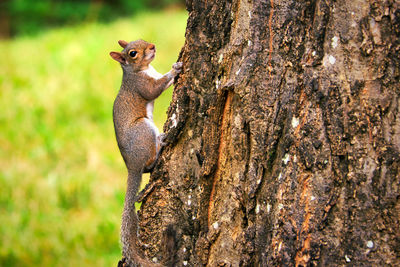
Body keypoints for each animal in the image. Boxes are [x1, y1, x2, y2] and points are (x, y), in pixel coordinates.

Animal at [111, 40, 183, 267]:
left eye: (141, 39)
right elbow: (154, 90)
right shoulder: (141, 86)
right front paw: (175, 70)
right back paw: (160, 142)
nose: (152, 46)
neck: (139, 70)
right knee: (150, 162)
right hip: (143, 129)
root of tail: (131, 166)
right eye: (133, 53)